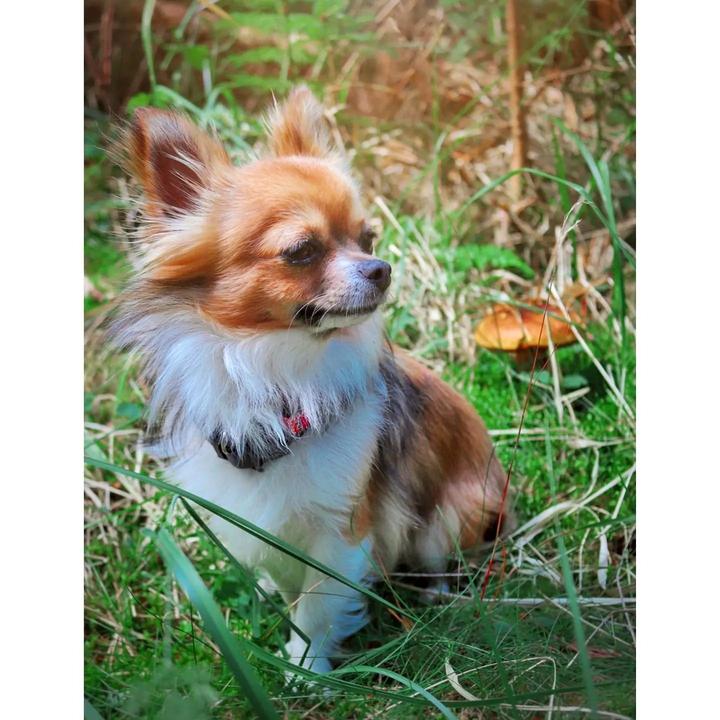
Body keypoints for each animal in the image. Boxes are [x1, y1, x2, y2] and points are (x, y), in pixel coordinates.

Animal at [113, 86, 511, 673]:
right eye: (302, 251)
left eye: (368, 238)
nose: (380, 267)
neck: (276, 368)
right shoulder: (265, 522)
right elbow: (288, 582)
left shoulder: (342, 529)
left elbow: (318, 605)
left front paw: (305, 669)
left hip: (450, 516)